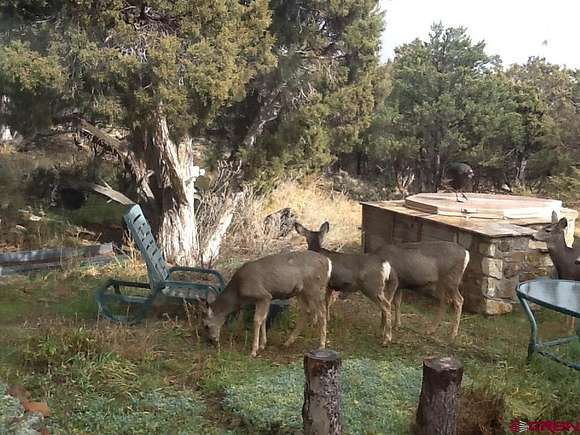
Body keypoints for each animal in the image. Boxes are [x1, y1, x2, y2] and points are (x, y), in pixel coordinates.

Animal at [202, 250, 332, 357]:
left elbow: (257, 320)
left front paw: (254, 350)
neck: (238, 293)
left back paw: (321, 345)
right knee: (307, 311)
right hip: (301, 292)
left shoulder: (263, 295)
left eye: (206, 325)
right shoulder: (265, 298)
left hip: (314, 288)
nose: (211, 341)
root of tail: (328, 262)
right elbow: (264, 318)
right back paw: (288, 342)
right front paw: (263, 344)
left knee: (322, 313)